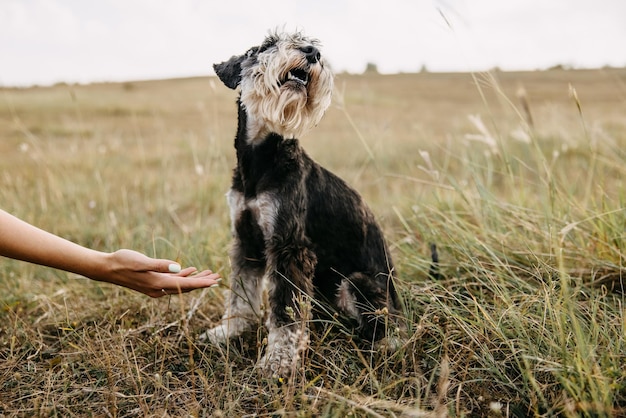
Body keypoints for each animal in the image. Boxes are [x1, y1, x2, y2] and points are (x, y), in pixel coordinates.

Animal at [200, 28, 400, 376]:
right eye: (265, 46)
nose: (311, 52)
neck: (261, 162)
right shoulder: (246, 239)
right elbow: (241, 292)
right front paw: (229, 331)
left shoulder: (289, 248)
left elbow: (285, 313)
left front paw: (277, 362)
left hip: (354, 284)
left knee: (377, 328)